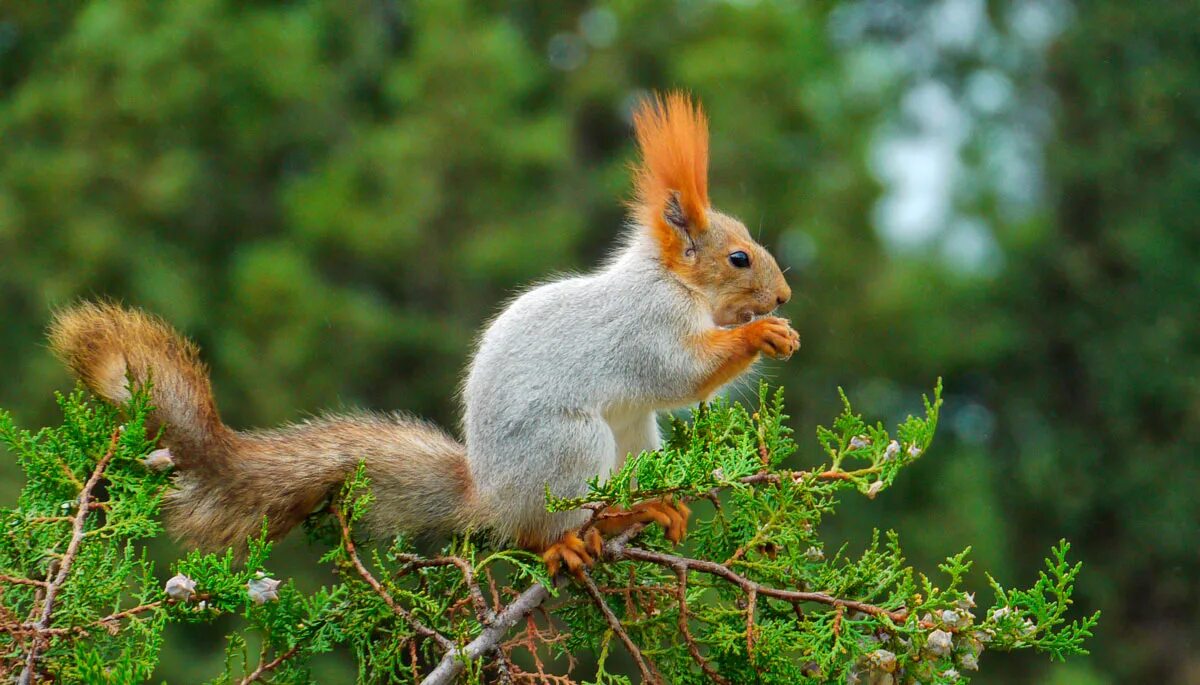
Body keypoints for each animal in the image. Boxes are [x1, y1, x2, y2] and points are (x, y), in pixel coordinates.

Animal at [49, 91, 796, 573]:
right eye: (739, 258)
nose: (785, 294)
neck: (674, 284)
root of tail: (488, 495)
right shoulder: (645, 328)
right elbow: (678, 374)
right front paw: (764, 335)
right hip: (568, 450)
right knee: (536, 531)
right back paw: (577, 535)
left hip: (633, 438)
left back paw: (645, 511)